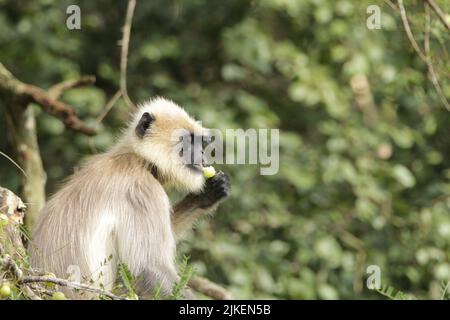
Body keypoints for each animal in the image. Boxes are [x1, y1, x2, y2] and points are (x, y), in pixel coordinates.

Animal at [29, 98, 230, 300]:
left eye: (200, 144)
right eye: (188, 142)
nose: (201, 155)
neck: (137, 159)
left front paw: (205, 196)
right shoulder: (141, 190)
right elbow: (148, 267)